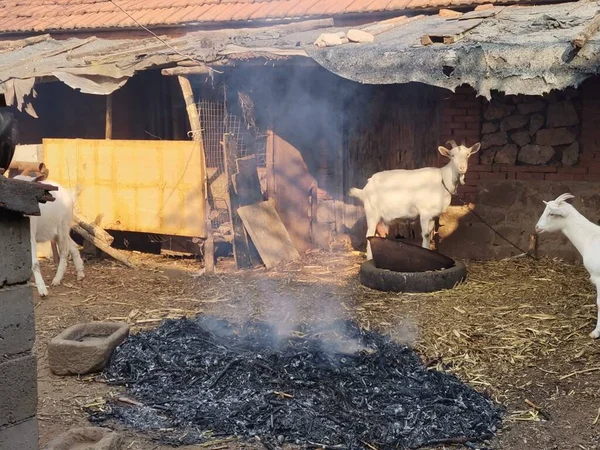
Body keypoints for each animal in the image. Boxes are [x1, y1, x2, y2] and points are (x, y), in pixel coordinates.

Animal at [350, 141, 480, 260]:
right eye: (452, 155)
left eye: (468, 154)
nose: (462, 168)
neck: (443, 179)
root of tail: (365, 188)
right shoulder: (425, 213)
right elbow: (426, 235)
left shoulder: (433, 215)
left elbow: (430, 235)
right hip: (372, 212)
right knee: (369, 234)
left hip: (381, 219)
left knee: (376, 235)